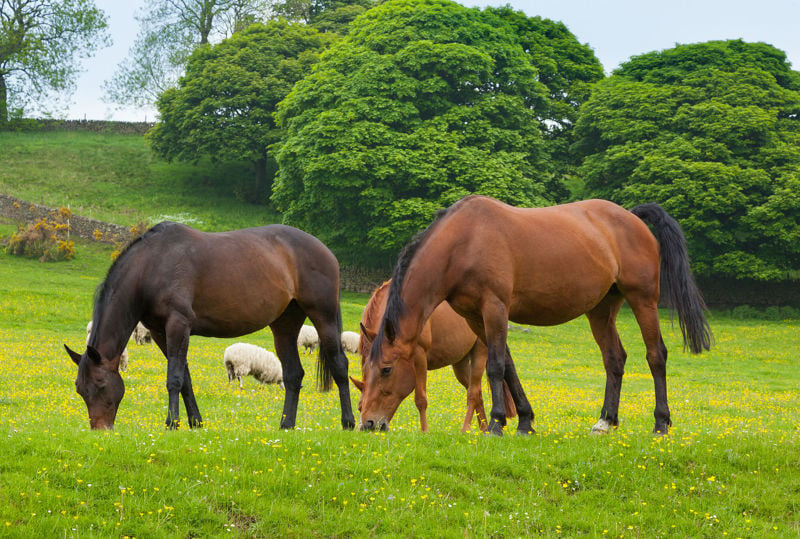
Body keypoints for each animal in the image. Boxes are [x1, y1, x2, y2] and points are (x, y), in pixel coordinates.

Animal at [67, 223, 354, 430]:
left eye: (101, 385)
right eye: (81, 389)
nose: (100, 429)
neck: (153, 264)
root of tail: (326, 251)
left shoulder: (178, 324)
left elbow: (174, 378)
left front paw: (171, 423)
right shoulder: (160, 331)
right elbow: (185, 379)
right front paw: (194, 421)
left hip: (324, 316)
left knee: (340, 365)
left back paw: (350, 422)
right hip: (285, 324)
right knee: (294, 375)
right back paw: (286, 425)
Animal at [352, 280, 516, 432]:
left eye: (386, 369)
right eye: (366, 369)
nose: (368, 424)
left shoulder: (419, 357)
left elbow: (420, 399)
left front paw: (425, 431)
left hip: (479, 353)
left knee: (473, 393)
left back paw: (465, 430)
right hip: (460, 364)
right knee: (478, 394)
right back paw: (483, 430)